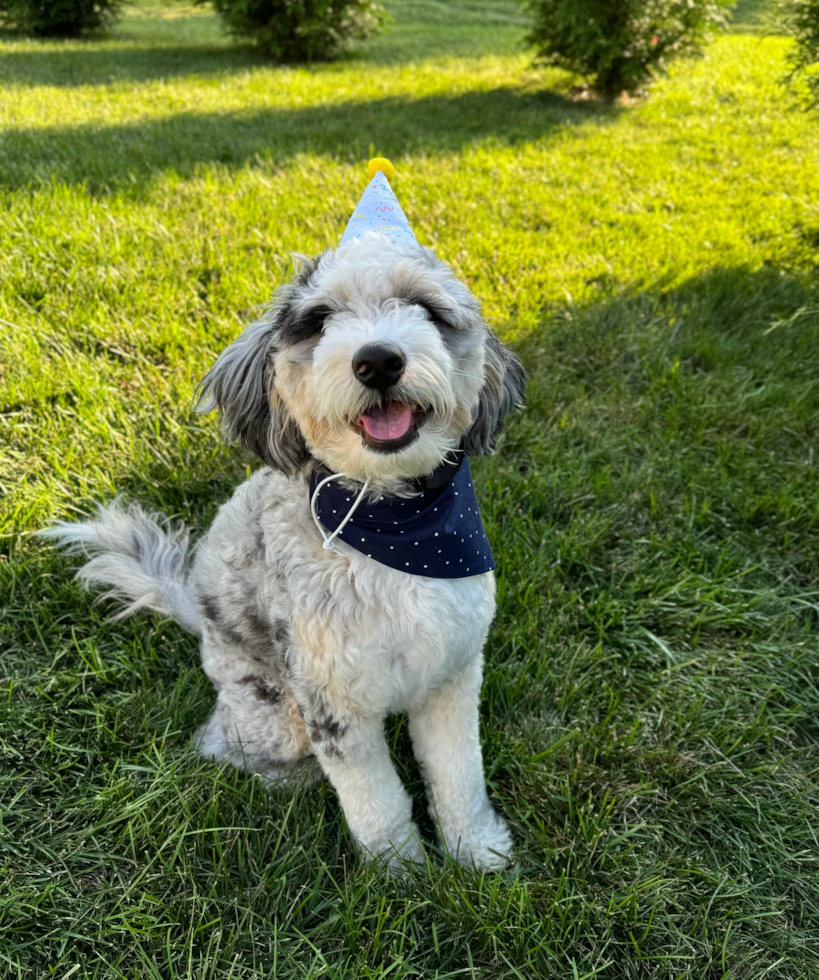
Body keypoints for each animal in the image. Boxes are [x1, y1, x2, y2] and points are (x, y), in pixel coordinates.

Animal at [48, 163, 528, 872]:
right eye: (320, 320)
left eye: (428, 312)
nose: (378, 359)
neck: (393, 523)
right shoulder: (330, 701)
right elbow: (376, 799)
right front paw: (401, 873)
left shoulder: (451, 674)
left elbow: (458, 773)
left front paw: (476, 852)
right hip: (276, 713)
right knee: (226, 746)